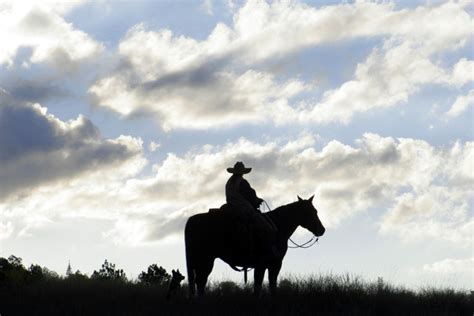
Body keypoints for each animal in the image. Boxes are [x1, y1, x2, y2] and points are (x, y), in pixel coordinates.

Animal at [185, 195, 326, 296]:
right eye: (310, 212)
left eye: (315, 210)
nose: (322, 230)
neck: (277, 227)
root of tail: (191, 220)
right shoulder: (264, 264)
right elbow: (258, 286)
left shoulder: (273, 265)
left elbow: (272, 285)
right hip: (205, 260)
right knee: (201, 281)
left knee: (199, 282)